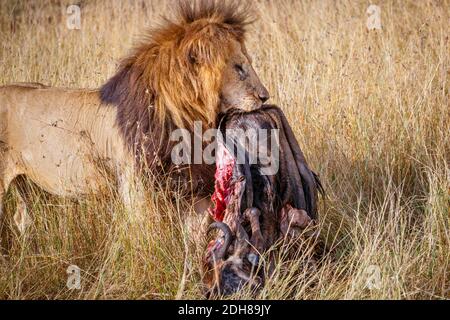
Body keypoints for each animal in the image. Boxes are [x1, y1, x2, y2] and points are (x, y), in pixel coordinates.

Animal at [0, 1, 268, 234]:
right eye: (239, 67)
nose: (265, 96)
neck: (189, 119)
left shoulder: (193, 188)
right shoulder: (136, 188)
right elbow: (149, 233)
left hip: (29, 186)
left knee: (21, 219)